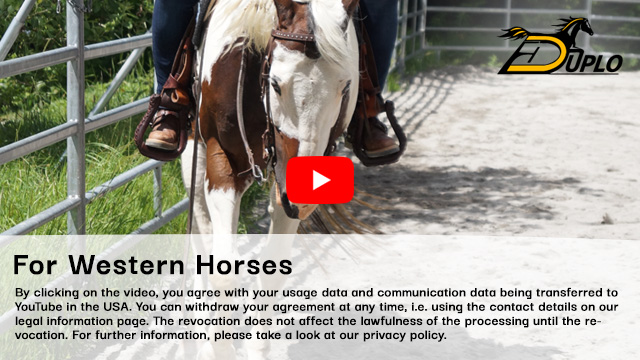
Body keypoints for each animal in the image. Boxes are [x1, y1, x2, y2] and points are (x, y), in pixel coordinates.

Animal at [180, 0, 360, 360]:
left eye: (345, 86)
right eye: (276, 83)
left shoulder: (289, 196)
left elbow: (274, 272)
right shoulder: (222, 166)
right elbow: (223, 276)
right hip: (193, 150)